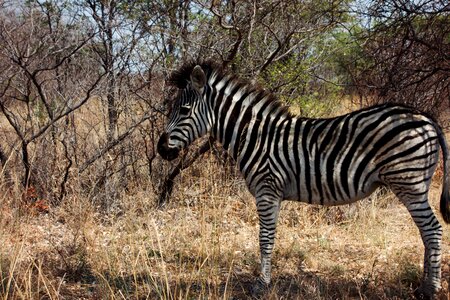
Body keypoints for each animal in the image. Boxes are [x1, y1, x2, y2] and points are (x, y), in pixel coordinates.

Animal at [156, 61, 448, 300]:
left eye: (184, 110)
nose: (161, 149)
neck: (255, 137)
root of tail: (425, 117)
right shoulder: (273, 193)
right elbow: (269, 237)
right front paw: (264, 281)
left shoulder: (266, 190)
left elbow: (265, 238)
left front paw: (261, 285)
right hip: (414, 185)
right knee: (426, 231)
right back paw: (423, 285)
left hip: (409, 183)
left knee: (433, 229)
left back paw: (429, 289)